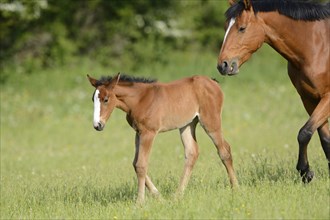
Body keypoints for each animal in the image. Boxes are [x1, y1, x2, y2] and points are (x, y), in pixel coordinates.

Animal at [87, 73, 237, 203]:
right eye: (93, 99)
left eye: (106, 100)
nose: (97, 125)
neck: (140, 99)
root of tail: (213, 82)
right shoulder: (138, 132)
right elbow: (135, 163)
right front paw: (159, 197)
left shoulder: (149, 133)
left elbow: (141, 165)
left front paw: (139, 202)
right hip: (187, 124)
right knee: (192, 152)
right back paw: (177, 196)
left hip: (210, 122)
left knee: (224, 150)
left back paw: (236, 188)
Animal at [217, 0, 330, 182]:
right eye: (226, 26)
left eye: (242, 28)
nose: (223, 65)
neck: (318, 47)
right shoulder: (310, 99)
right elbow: (324, 138)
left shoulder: (327, 97)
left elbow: (304, 133)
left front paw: (305, 171)